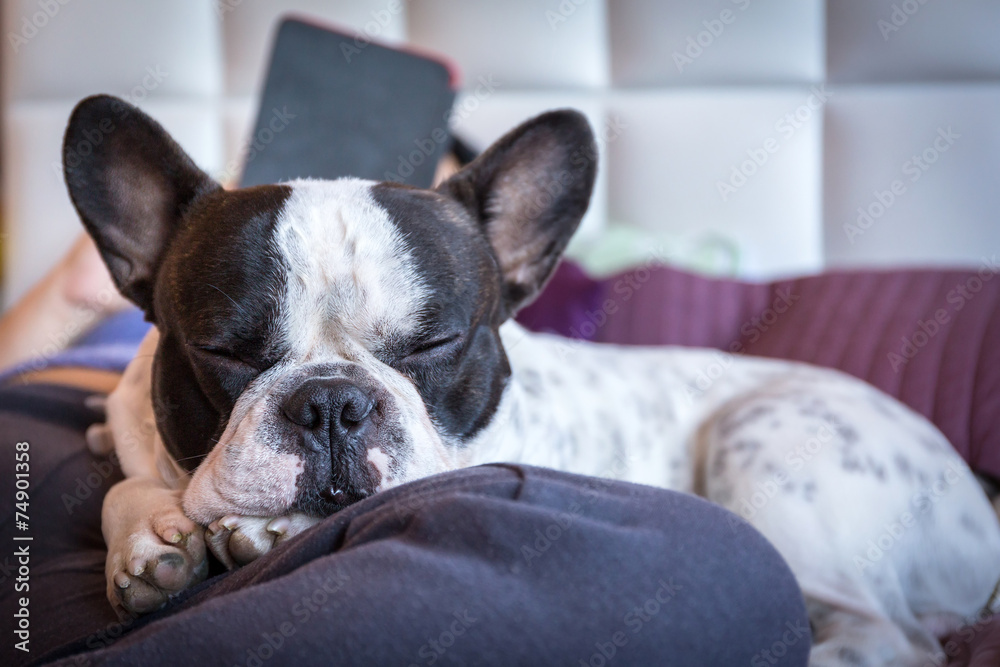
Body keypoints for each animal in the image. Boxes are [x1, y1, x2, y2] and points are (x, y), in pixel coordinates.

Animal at [64, 95, 1000, 667]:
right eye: (224, 350)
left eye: (437, 339)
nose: (332, 403)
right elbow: (122, 482)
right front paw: (150, 539)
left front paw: (237, 534)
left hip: (766, 446)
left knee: (886, 632)